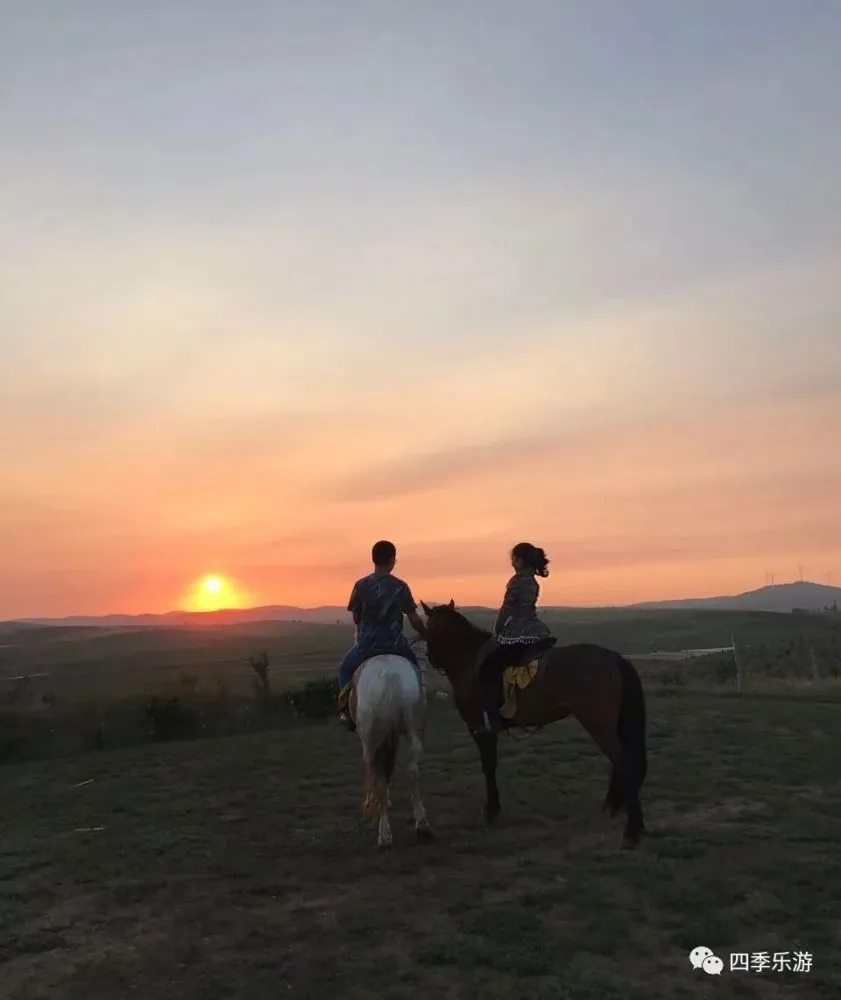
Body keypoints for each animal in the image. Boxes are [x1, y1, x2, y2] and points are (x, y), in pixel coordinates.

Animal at [352, 652, 434, 848]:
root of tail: (390, 678)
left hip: (370, 743)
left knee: (378, 781)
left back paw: (384, 836)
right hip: (412, 728)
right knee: (411, 772)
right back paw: (422, 825)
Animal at [420, 596, 648, 848]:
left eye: (429, 626)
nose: (431, 657)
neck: (469, 661)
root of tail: (613, 658)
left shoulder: (479, 727)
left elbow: (488, 766)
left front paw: (491, 810)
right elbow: (491, 765)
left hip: (599, 725)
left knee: (624, 761)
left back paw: (633, 829)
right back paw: (615, 807)